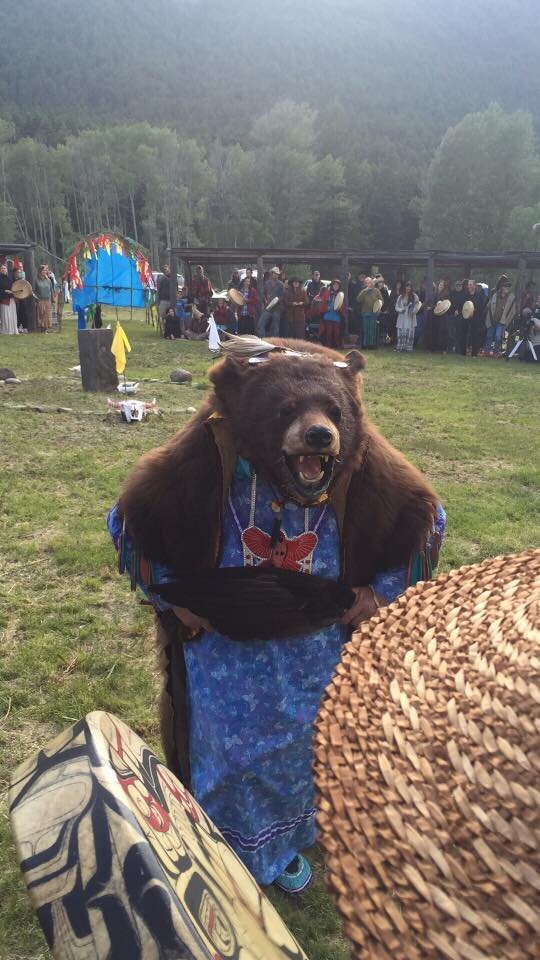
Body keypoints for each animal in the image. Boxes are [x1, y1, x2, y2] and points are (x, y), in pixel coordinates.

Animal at [110, 339, 444, 891]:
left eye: (335, 410)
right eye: (285, 409)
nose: (320, 434)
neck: (280, 489)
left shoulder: (383, 485)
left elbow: (420, 539)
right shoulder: (182, 475)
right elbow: (128, 533)